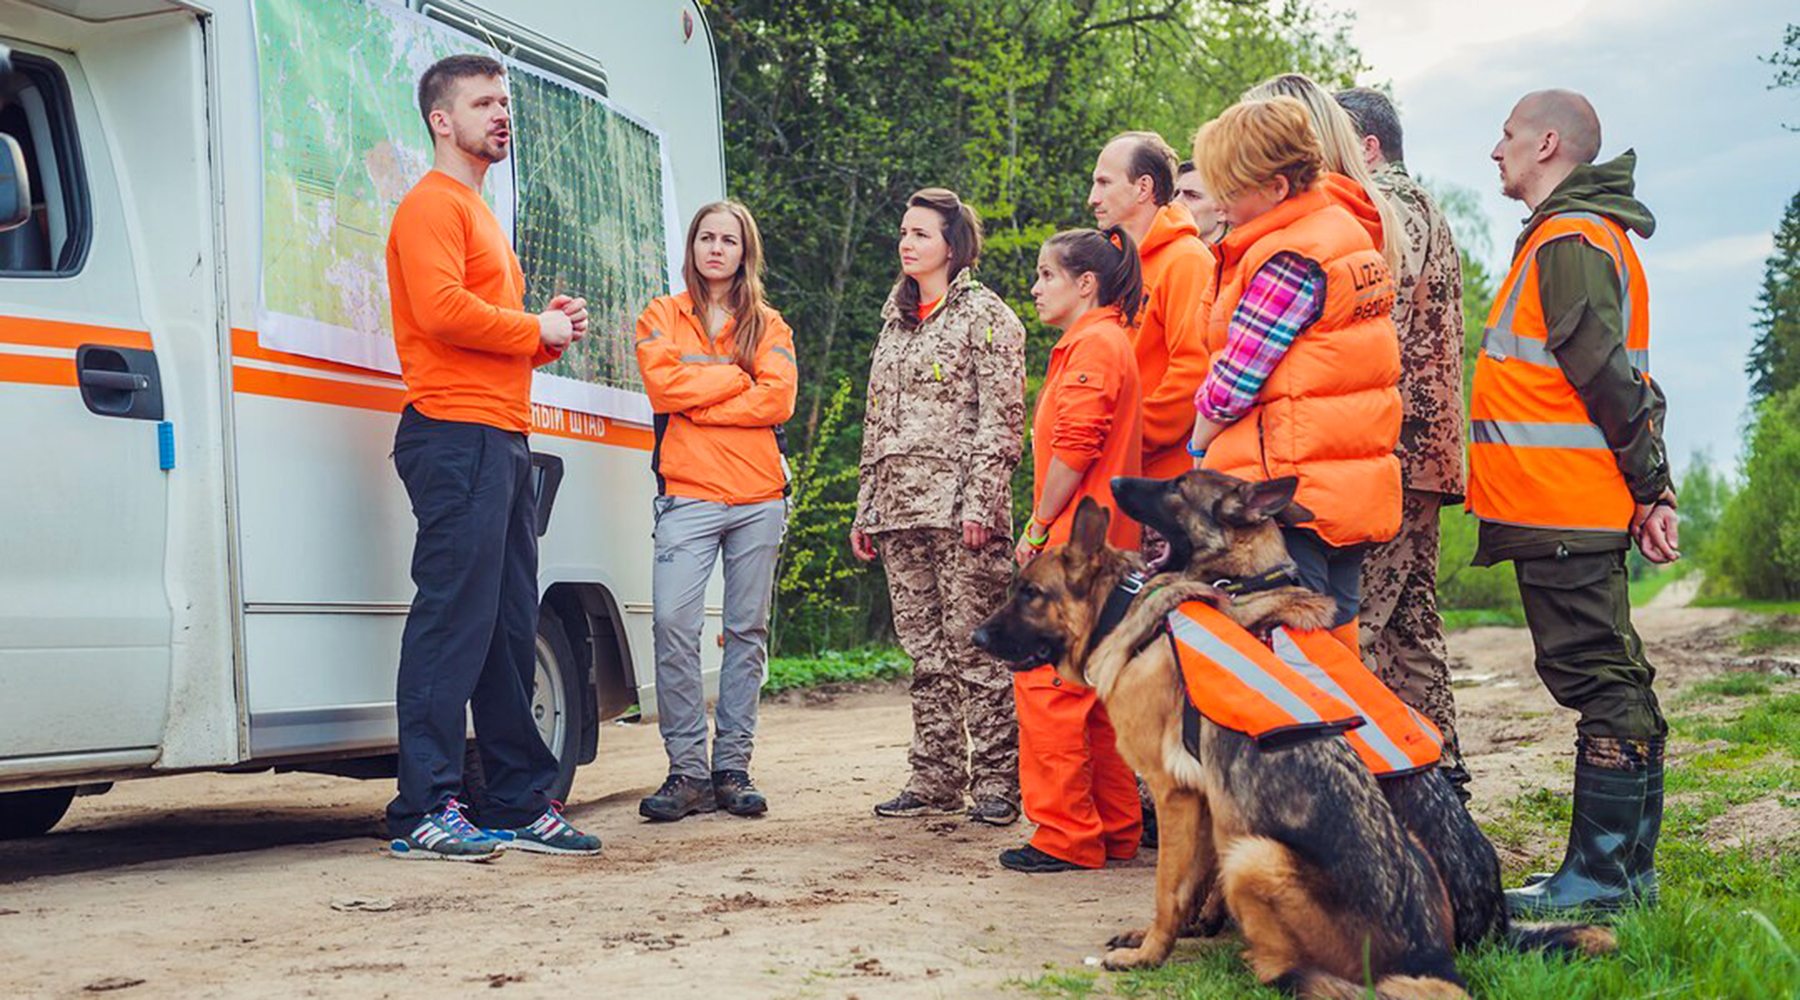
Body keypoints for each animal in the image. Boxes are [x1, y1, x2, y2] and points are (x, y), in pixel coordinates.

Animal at [972, 482, 1620, 992]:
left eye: (1029, 593)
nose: (976, 637)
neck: (1125, 613)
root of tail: (1440, 955)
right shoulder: (1206, 801)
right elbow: (1190, 885)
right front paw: (1175, 933)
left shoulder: (1175, 793)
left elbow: (1169, 889)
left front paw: (1149, 953)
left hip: (1255, 855)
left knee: (1294, 967)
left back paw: (1266, 964)